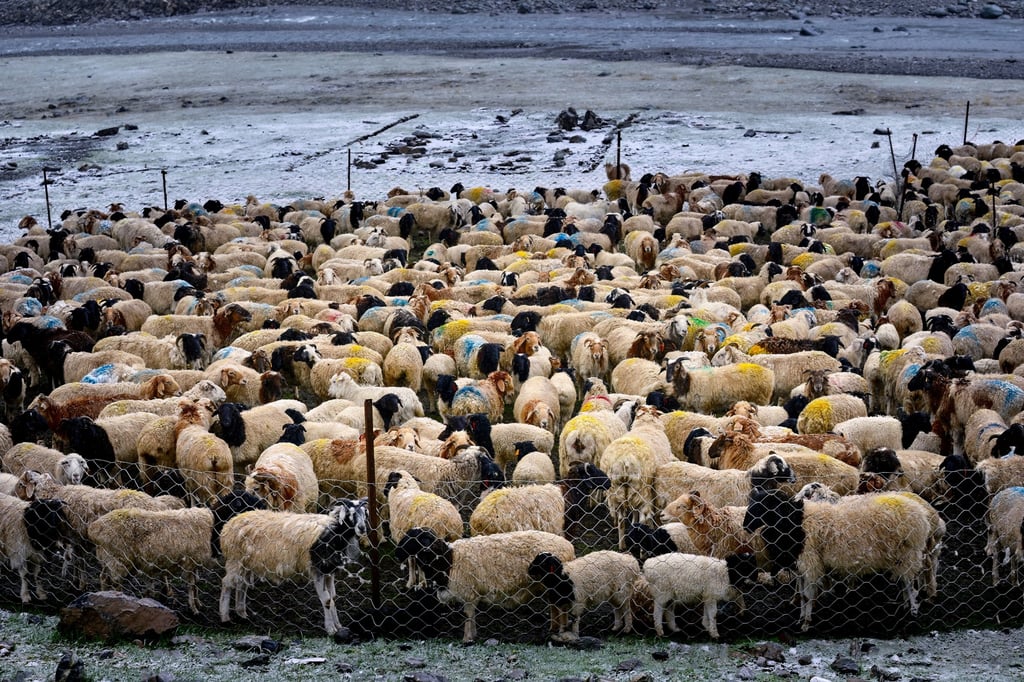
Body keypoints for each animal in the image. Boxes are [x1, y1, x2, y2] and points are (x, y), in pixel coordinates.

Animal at [85, 490, 267, 613]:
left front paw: (198, 604)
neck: (213, 525)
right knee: (115, 582)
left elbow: (195, 585)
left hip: (107, 558)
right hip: (118, 559)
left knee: (103, 577)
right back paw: (118, 600)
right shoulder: (190, 561)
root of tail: (94, 529)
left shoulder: (194, 563)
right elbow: (191, 586)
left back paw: (104, 596)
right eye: (245, 503)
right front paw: (194, 608)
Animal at [219, 498, 369, 634]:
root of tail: (230, 523)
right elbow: (326, 600)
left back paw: (242, 613)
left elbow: (333, 598)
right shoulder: (317, 570)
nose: (362, 528)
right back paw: (225, 618)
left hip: (246, 563)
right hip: (234, 559)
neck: (334, 531)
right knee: (227, 583)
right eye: (350, 513)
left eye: (365, 513)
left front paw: (338, 626)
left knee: (241, 584)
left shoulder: (329, 571)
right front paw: (331, 629)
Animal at [394, 528, 575, 643]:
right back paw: (553, 627)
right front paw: (473, 635)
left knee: (561, 606)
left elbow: (468, 615)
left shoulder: (468, 592)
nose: (397, 553)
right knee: (554, 606)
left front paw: (467, 639)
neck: (449, 560)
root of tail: (569, 546)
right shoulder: (472, 593)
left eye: (413, 538)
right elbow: (471, 615)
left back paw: (561, 630)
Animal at [743, 489, 932, 631]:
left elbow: (808, 596)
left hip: (908, 554)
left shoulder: (811, 563)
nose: (745, 526)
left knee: (910, 584)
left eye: (762, 505)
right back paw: (906, 607)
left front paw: (806, 623)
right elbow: (803, 596)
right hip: (901, 558)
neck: (796, 522)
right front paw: (800, 619)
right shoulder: (802, 567)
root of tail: (920, 514)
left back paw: (913, 611)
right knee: (905, 582)